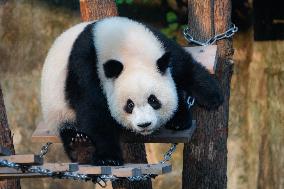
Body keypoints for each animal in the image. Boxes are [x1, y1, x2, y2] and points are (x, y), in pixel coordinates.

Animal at [41, 17, 223, 166]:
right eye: (129, 105)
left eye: (153, 100)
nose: (144, 125)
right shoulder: (87, 67)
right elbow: (93, 111)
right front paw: (109, 158)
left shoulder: (160, 44)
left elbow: (184, 67)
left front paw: (213, 96)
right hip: (57, 108)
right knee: (68, 129)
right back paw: (81, 148)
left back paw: (179, 119)